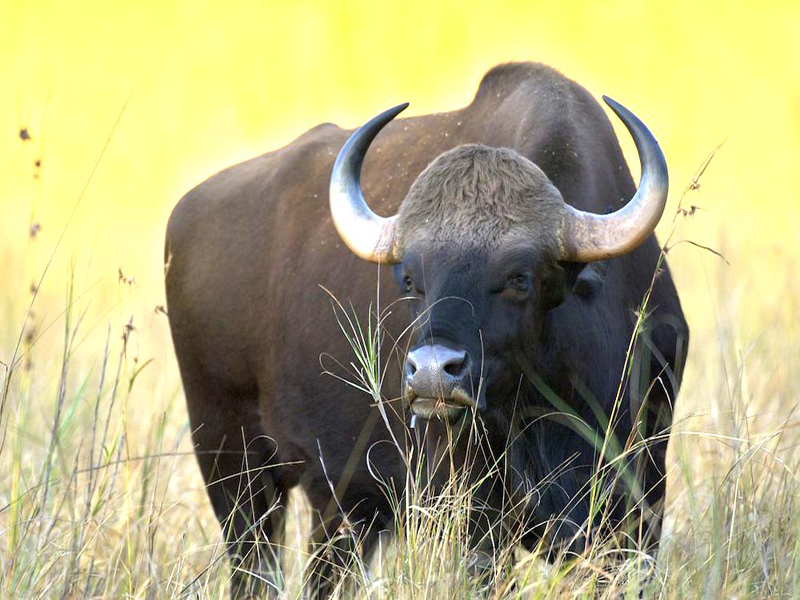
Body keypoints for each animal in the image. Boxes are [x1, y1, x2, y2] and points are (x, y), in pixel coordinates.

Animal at [164, 61, 688, 596]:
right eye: (412, 279)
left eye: (519, 277)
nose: (433, 372)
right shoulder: (473, 517)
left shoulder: (640, 504)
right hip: (234, 470)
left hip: (342, 507)